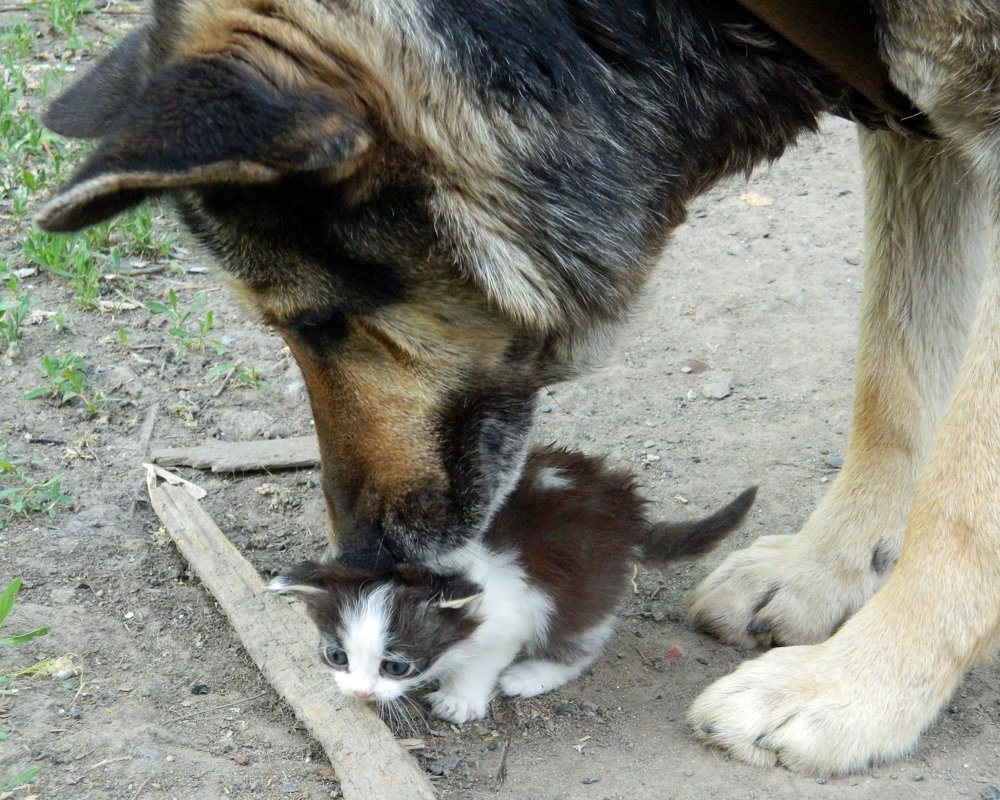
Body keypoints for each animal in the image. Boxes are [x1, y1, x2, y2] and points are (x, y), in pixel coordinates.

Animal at [270, 444, 752, 724]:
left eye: (396, 667)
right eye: (336, 656)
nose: (360, 692)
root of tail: (627, 509)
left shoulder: (511, 613)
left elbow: (483, 660)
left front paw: (459, 699)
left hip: (585, 580)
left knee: (582, 634)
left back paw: (535, 673)